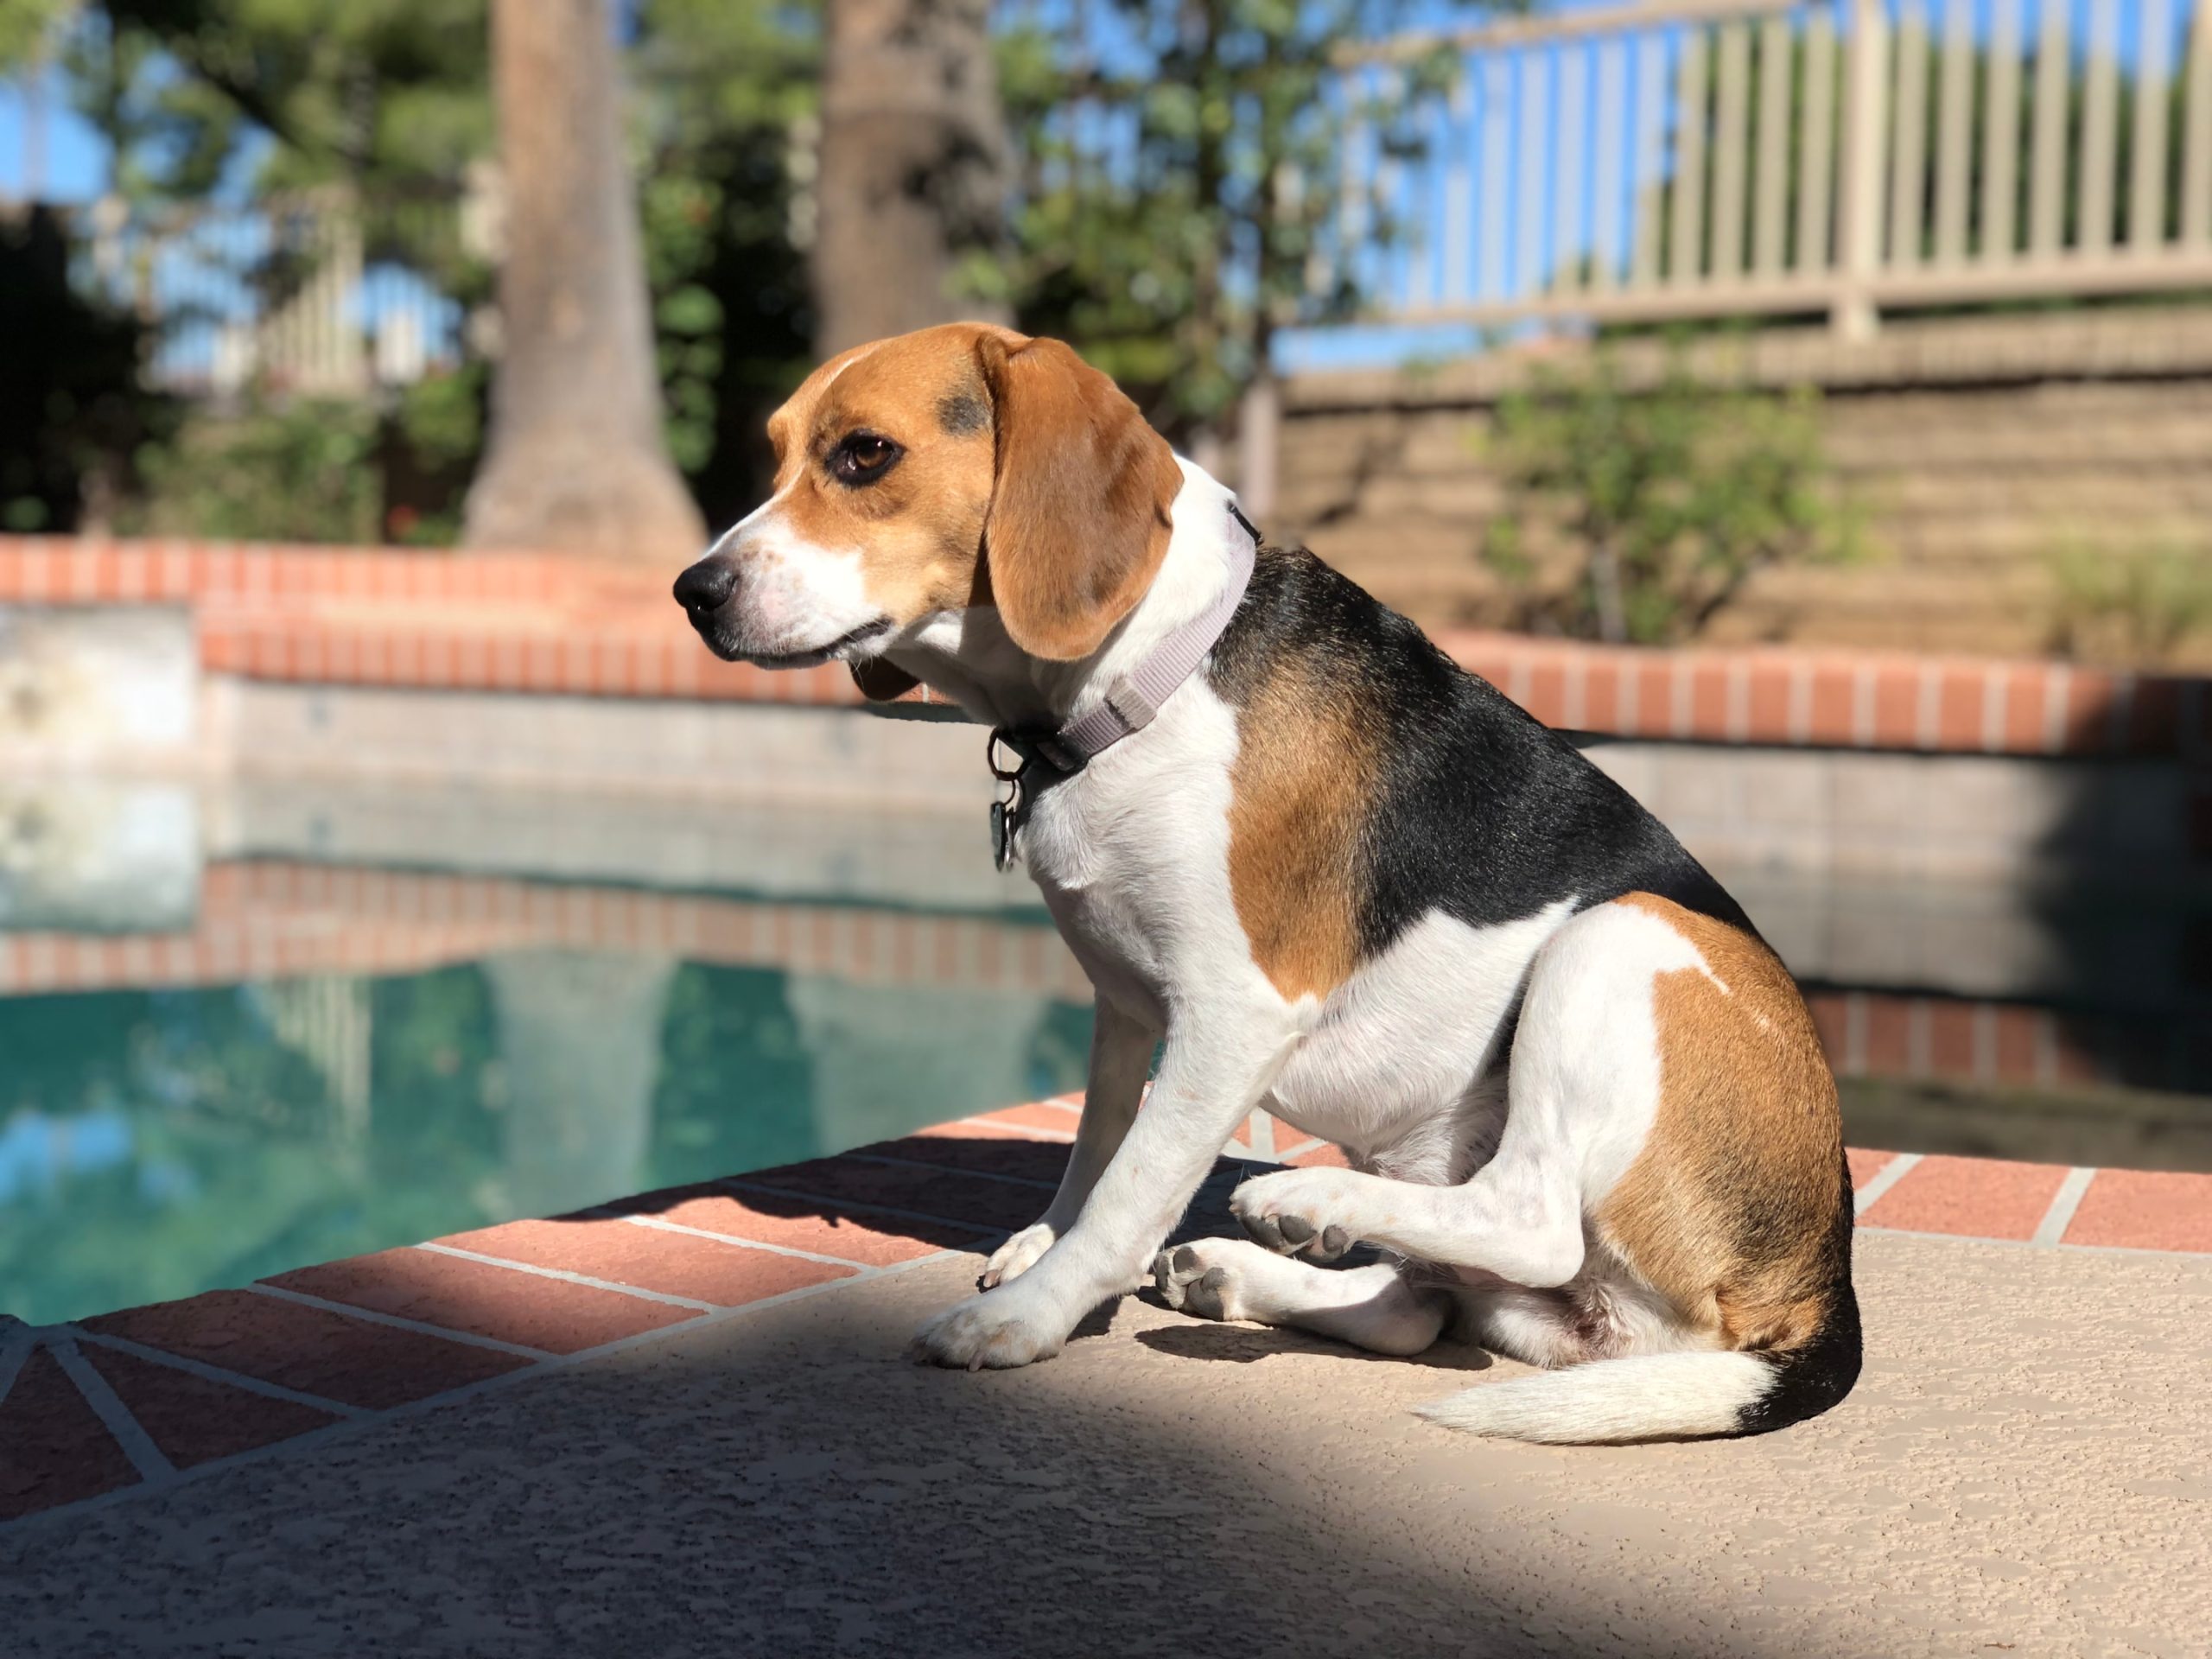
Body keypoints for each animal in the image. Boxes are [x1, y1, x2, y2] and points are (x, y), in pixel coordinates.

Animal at [677, 321, 1866, 1442]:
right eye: (775, 453)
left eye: (866, 454)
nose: (695, 592)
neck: (1146, 678)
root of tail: (1823, 1280)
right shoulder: (1121, 1003)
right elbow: (1095, 1153)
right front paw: (1041, 1248)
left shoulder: (1232, 1013)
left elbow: (1127, 1191)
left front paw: (1027, 1316)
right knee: (1419, 1309)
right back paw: (1253, 1264)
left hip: (1624, 933)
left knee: (1530, 1217)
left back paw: (1301, 1195)